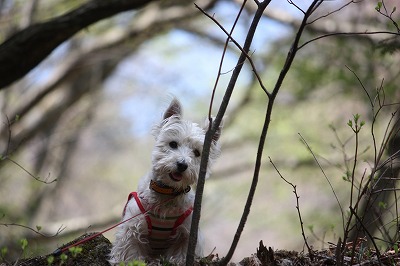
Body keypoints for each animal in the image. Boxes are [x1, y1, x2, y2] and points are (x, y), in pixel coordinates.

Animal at [109, 98, 222, 264]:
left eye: (197, 152)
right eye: (173, 144)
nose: (182, 164)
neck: (167, 193)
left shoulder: (186, 235)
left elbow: (179, 256)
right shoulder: (131, 228)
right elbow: (130, 254)